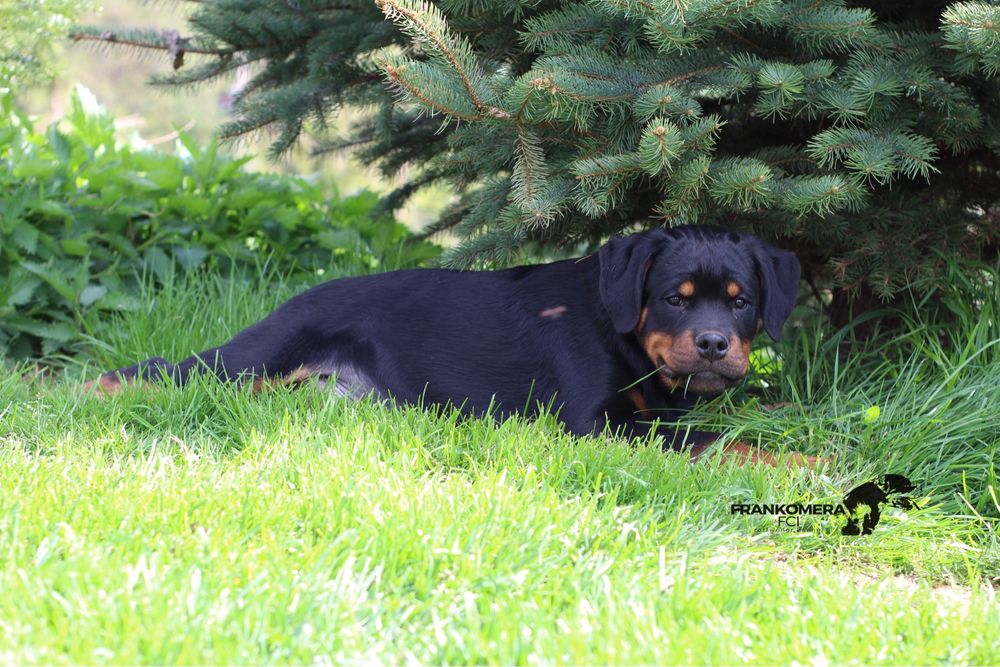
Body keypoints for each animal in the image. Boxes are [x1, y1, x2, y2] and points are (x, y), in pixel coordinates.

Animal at [90, 227, 816, 468]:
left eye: (741, 300)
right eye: (674, 297)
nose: (715, 343)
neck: (627, 337)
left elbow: (727, 426)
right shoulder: (592, 424)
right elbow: (715, 442)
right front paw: (806, 462)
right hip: (254, 358)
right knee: (166, 370)